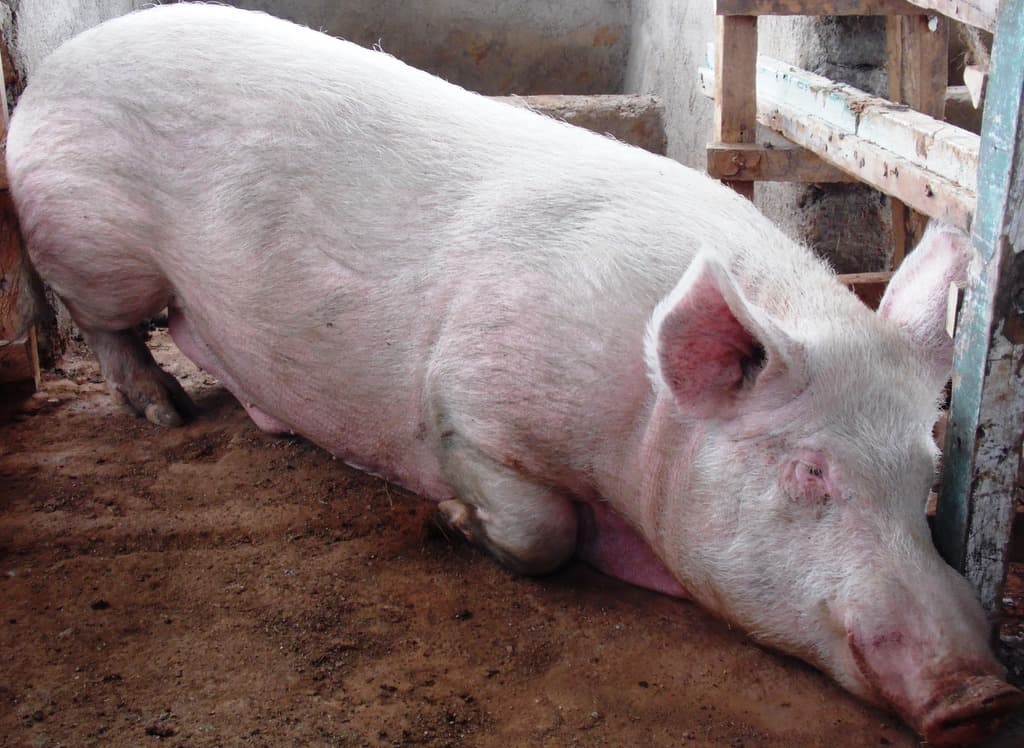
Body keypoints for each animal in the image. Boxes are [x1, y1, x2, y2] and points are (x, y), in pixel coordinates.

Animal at [6, 4, 1022, 744]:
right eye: (810, 472)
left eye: (927, 481)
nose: (984, 696)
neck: (639, 417)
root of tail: (52, 71)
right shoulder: (471, 399)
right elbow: (539, 528)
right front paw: (450, 522)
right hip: (95, 244)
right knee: (106, 328)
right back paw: (166, 412)